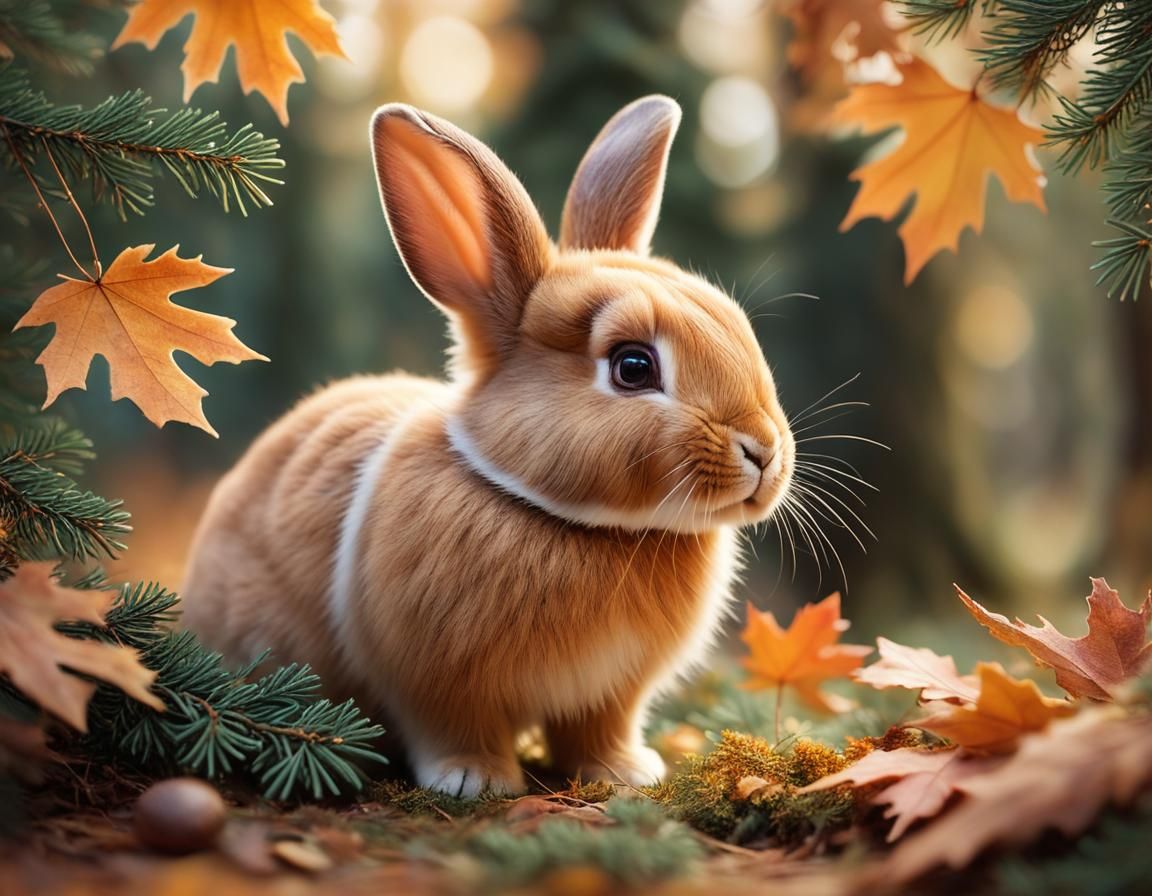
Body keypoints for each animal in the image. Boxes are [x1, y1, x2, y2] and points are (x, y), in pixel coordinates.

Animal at [181, 95, 795, 798]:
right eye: (634, 367)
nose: (764, 452)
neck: (584, 527)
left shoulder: (612, 692)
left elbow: (599, 730)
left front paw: (624, 773)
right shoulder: (435, 680)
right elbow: (452, 725)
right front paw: (474, 780)